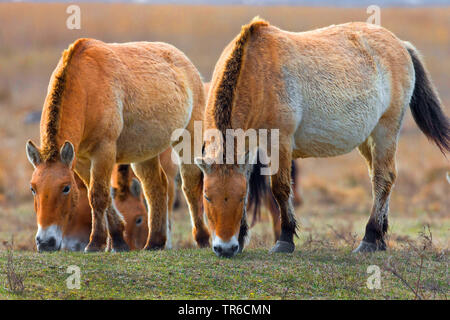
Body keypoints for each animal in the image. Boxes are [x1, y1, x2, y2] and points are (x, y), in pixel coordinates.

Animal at [27, 38, 210, 252]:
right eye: (33, 188)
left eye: (66, 188)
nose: (45, 242)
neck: (86, 86)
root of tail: (184, 61)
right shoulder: (81, 159)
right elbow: (101, 196)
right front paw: (118, 240)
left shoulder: (103, 151)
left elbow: (98, 196)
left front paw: (96, 243)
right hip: (145, 153)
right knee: (155, 188)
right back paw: (154, 242)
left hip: (188, 139)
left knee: (190, 184)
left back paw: (203, 239)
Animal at [195, 18, 448, 258]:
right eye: (207, 196)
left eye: (238, 199)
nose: (225, 248)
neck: (257, 75)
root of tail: (400, 45)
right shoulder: (250, 149)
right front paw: (242, 236)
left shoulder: (280, 144)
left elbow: (280, 188)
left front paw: (284, 240)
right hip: (368, 140)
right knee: (381, 178)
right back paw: (380, 241)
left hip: (385, 131)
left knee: (383, 179)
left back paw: (369, 238)